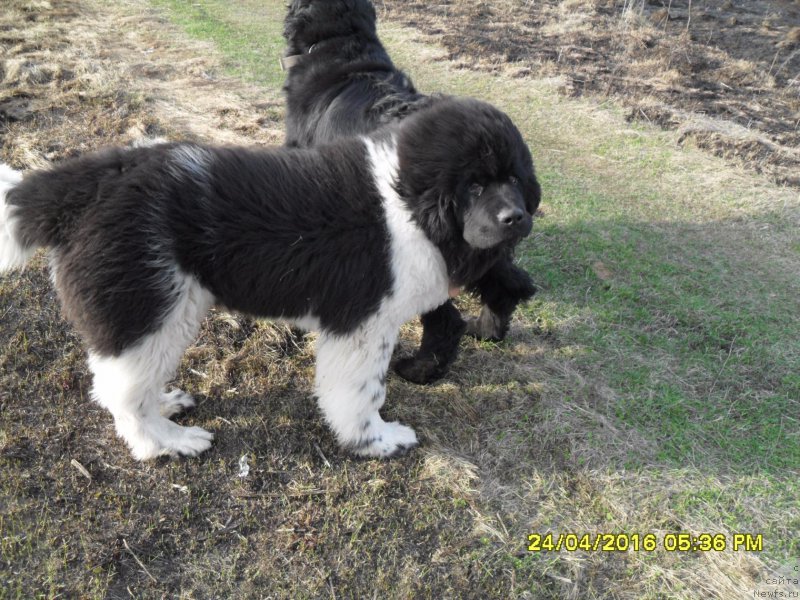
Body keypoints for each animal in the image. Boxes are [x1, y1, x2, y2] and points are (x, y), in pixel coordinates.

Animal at [0, 97, 540, 460]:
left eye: (514, 178)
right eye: (474, 185)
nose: (515, 218)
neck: (409, 200)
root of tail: (91, 180)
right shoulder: (364, 325)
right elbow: (363, 392)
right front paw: (377, 440)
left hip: (165, 312)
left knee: (130, 384)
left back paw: (167, 408)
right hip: (149, 307)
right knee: (120, 394)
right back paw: (168, 444)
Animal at [282, 0, 536, 384]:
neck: (340, 47)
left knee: (446, 321)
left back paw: (420, 370)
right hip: (483, 234)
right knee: (510, 286)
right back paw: (486, 331)